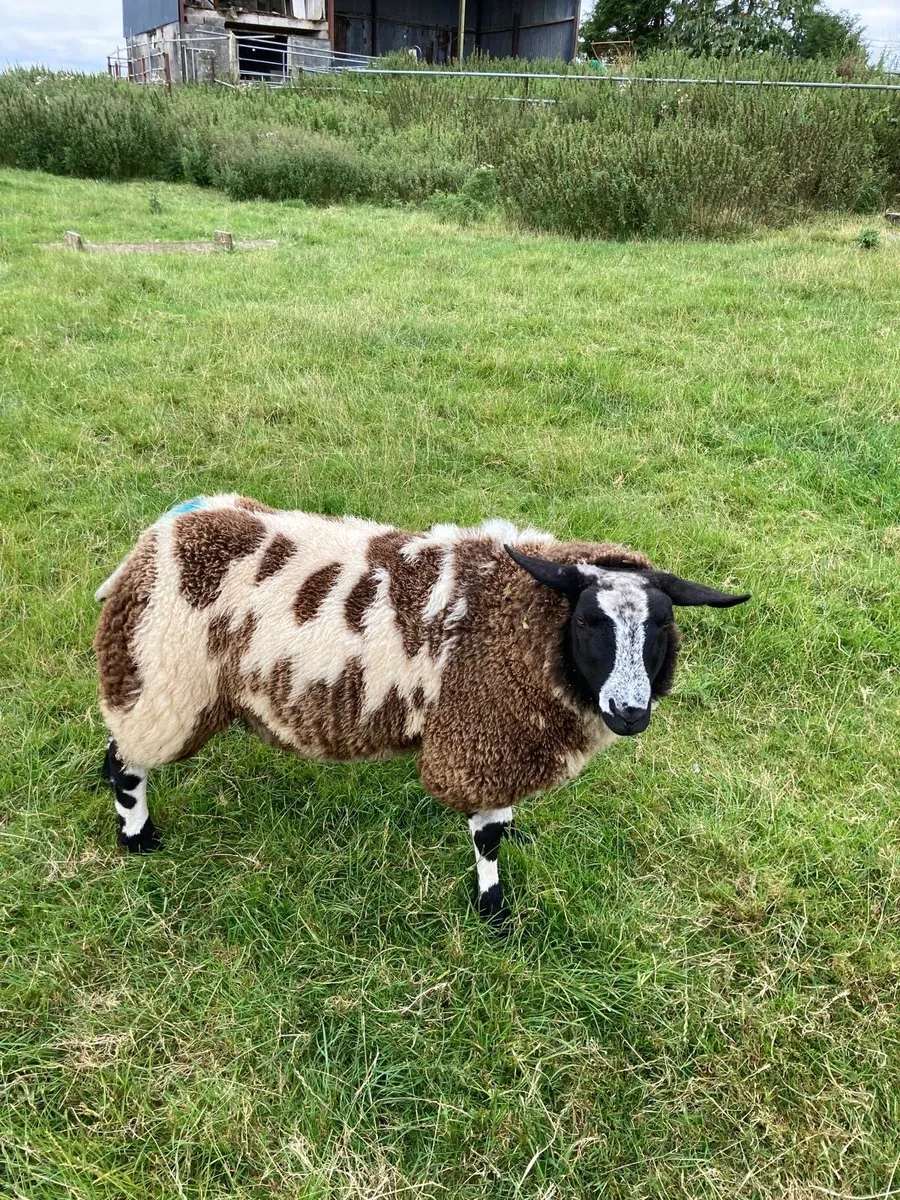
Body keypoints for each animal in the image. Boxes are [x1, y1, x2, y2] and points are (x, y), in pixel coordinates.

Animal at [95, 494, 749, 925]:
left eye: (662, 625)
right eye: (588, 622)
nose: (630, 711)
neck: (509, 614)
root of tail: (159, 534)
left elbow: (500, 819)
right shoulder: (477, 737)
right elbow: (487, 837)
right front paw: (493, 909)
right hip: (165, 681)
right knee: (128, 763)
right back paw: (138, 837)